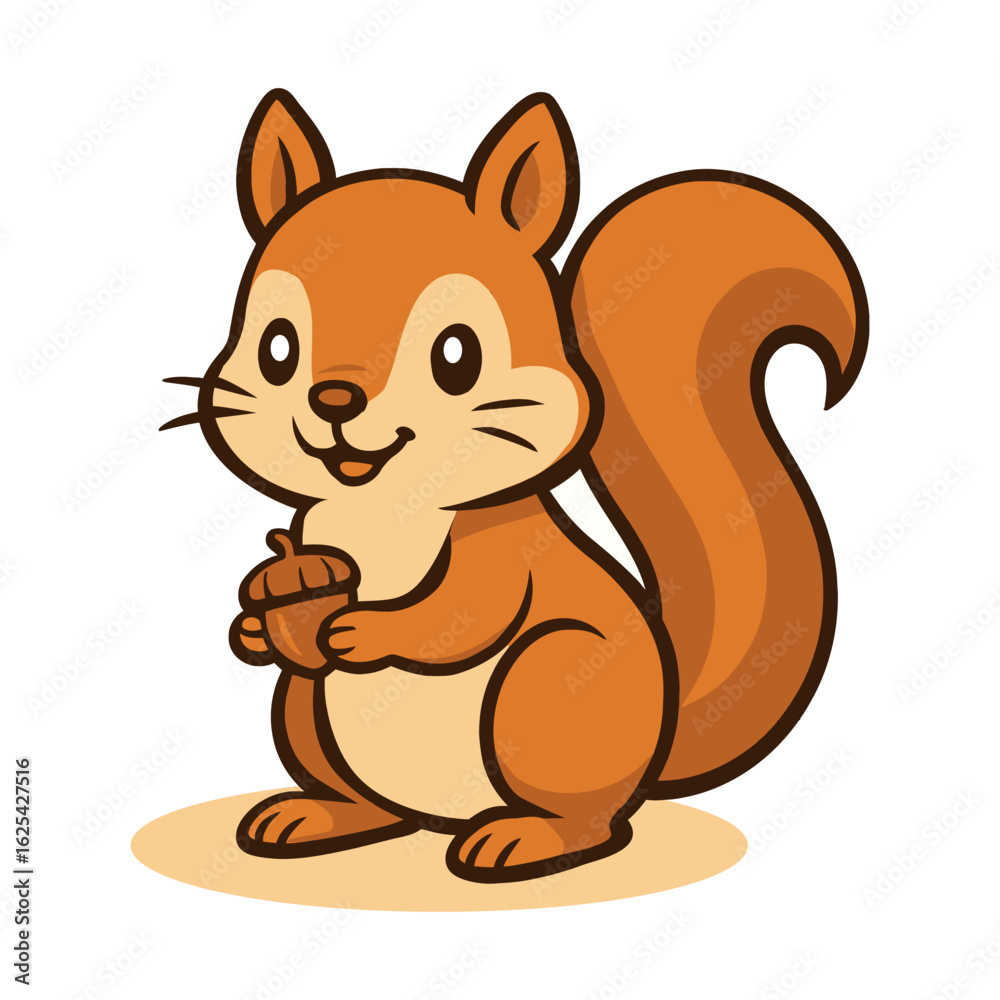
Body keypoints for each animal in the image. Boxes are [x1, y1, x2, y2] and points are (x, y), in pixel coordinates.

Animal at [164, 89, 867, 883]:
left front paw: (364, 629)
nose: (335, 399)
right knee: (365, 797)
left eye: (457, 355)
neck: (381, 506)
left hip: (546, 686)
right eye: (276, 347)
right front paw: (254, 628)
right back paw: (317, 814)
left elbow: (463, 615)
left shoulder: (502, 550)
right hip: (305, 709)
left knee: (590, 817)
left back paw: (524, 838)